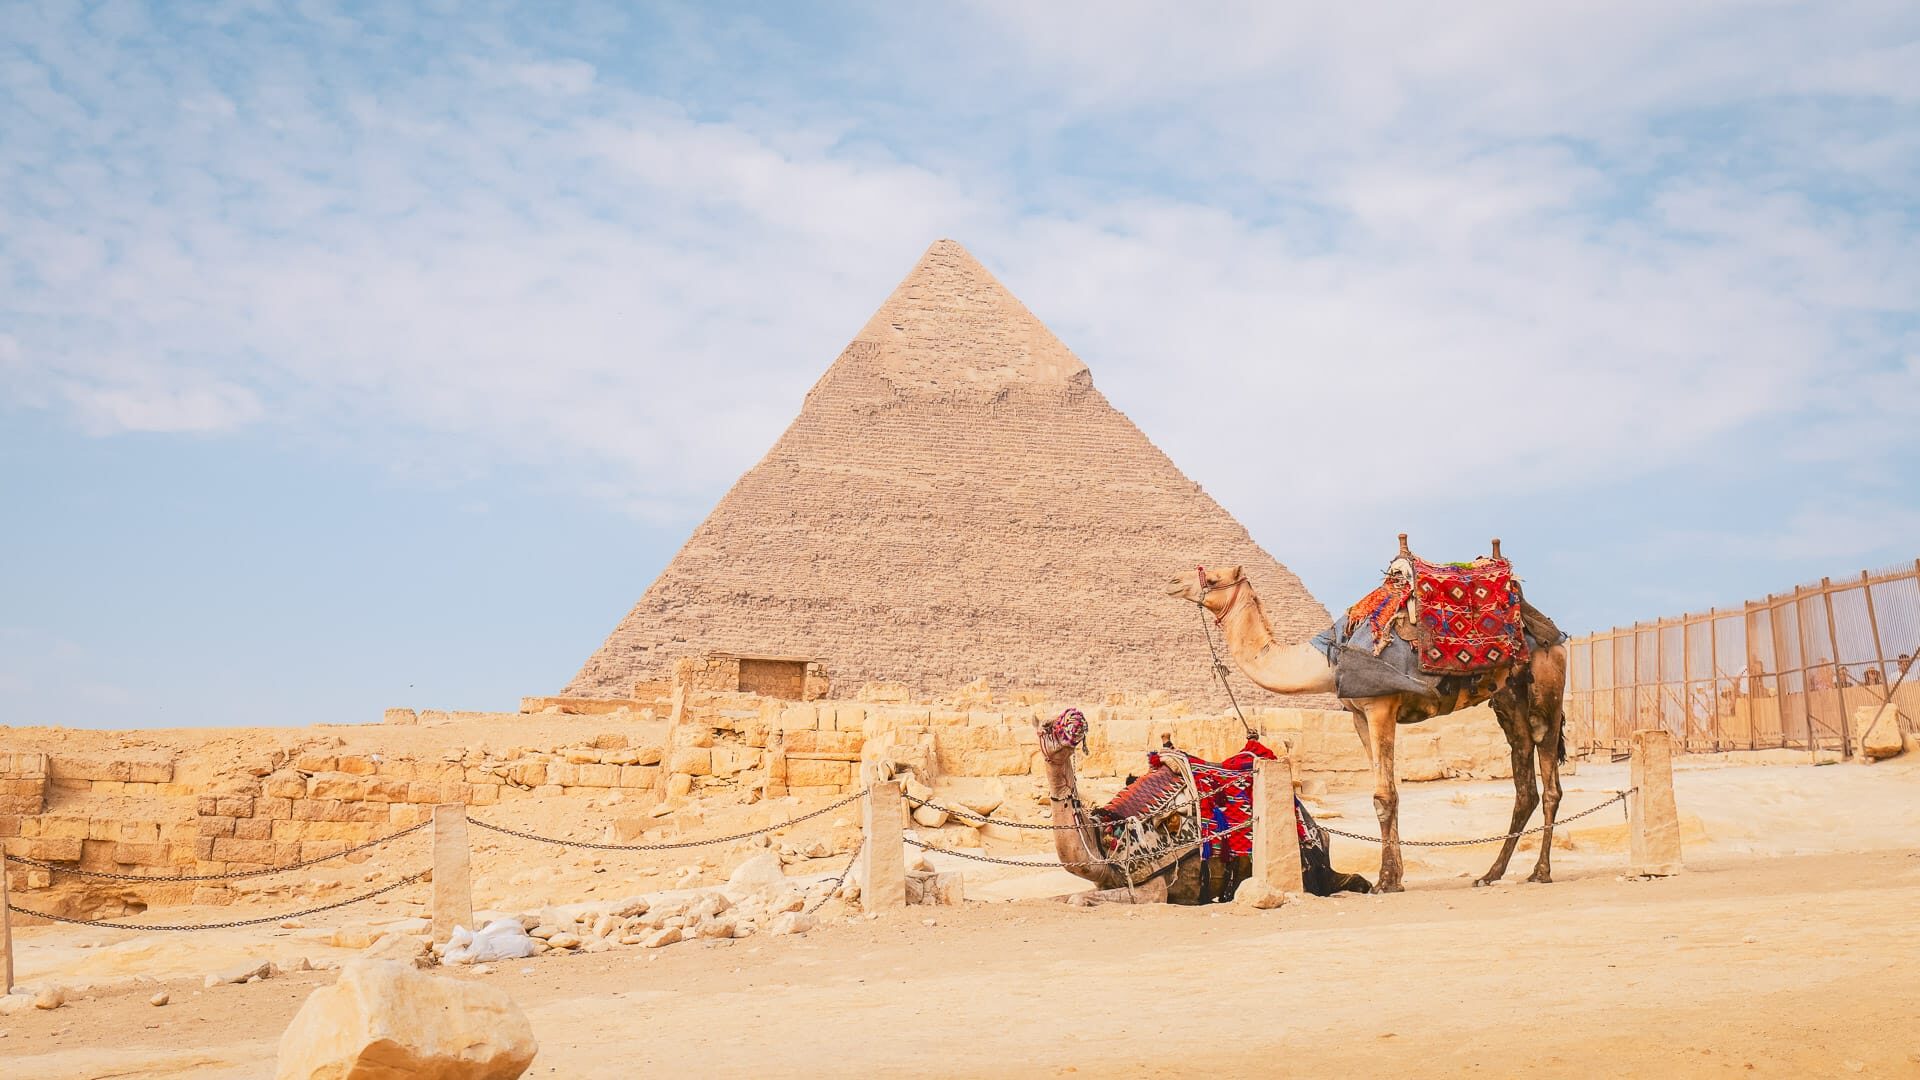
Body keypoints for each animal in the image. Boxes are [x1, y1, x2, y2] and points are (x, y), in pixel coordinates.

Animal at [1164, 540, 1569, 893]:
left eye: (1212, 577)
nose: (1172, 581)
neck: (1329, 658)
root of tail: (1554, 634)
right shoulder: (1359, 715)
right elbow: (1385, 794)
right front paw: (1395, 877)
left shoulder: (1380, 707)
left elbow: (1383, 795)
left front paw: (1385, 881)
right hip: (1508, 699)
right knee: (1524, 781)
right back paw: (1490, 874)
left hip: (1547, 690)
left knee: (1549, 778)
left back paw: (1540, 872)